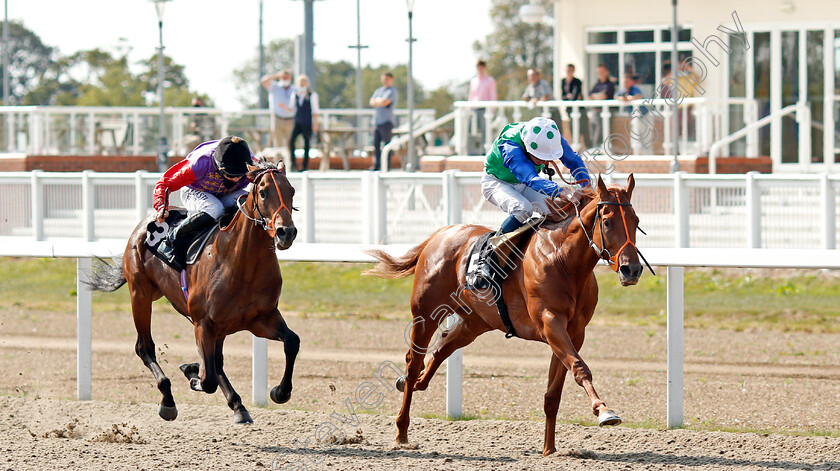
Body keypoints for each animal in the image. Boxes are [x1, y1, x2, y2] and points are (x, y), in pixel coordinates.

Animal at [88, 161, 298, 424]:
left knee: (217, 362)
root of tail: (144, 224)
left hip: (213, 322)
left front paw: (280, 391)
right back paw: (168, 400)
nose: (285, 232)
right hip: (141, 294)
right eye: (263, 192)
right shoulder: (204, 323)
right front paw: (191, 372)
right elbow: (207, 380)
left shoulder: (261, 318)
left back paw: (238, 407)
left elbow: (292, 341)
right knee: (144, 347)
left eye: (292, 191)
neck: (239, 262)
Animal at [364, 174, 648, 458]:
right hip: (425, 314)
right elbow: (579, 367)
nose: (631, 269)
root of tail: (440, 235)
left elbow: (553, 393)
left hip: (474, 322)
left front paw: (549, 449)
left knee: (440, 350)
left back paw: (410, 383)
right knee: (414, 363)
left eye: (636, 222)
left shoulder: (574, 332)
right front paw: (604, 411)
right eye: (607, 221)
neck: (563, 260)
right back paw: (401, 430)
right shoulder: (549, 322)